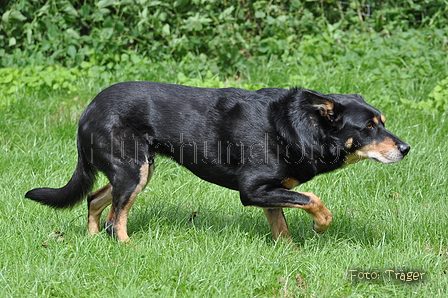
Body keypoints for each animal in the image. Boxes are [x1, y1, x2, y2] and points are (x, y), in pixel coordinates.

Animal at [24, 82, 410, 242]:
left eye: (383, 122)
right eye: (369, 127)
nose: (406, 149)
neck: (295, 128)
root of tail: (87, 110)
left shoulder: (271, 191)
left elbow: (282, 228)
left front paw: (287, 253)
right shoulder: (252, 190)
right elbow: (314, 201)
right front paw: (321, 226)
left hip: (135, 171)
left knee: (94, 199)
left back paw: (92, 241)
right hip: (133, 171)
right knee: (116, 218)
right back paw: (126, 246)